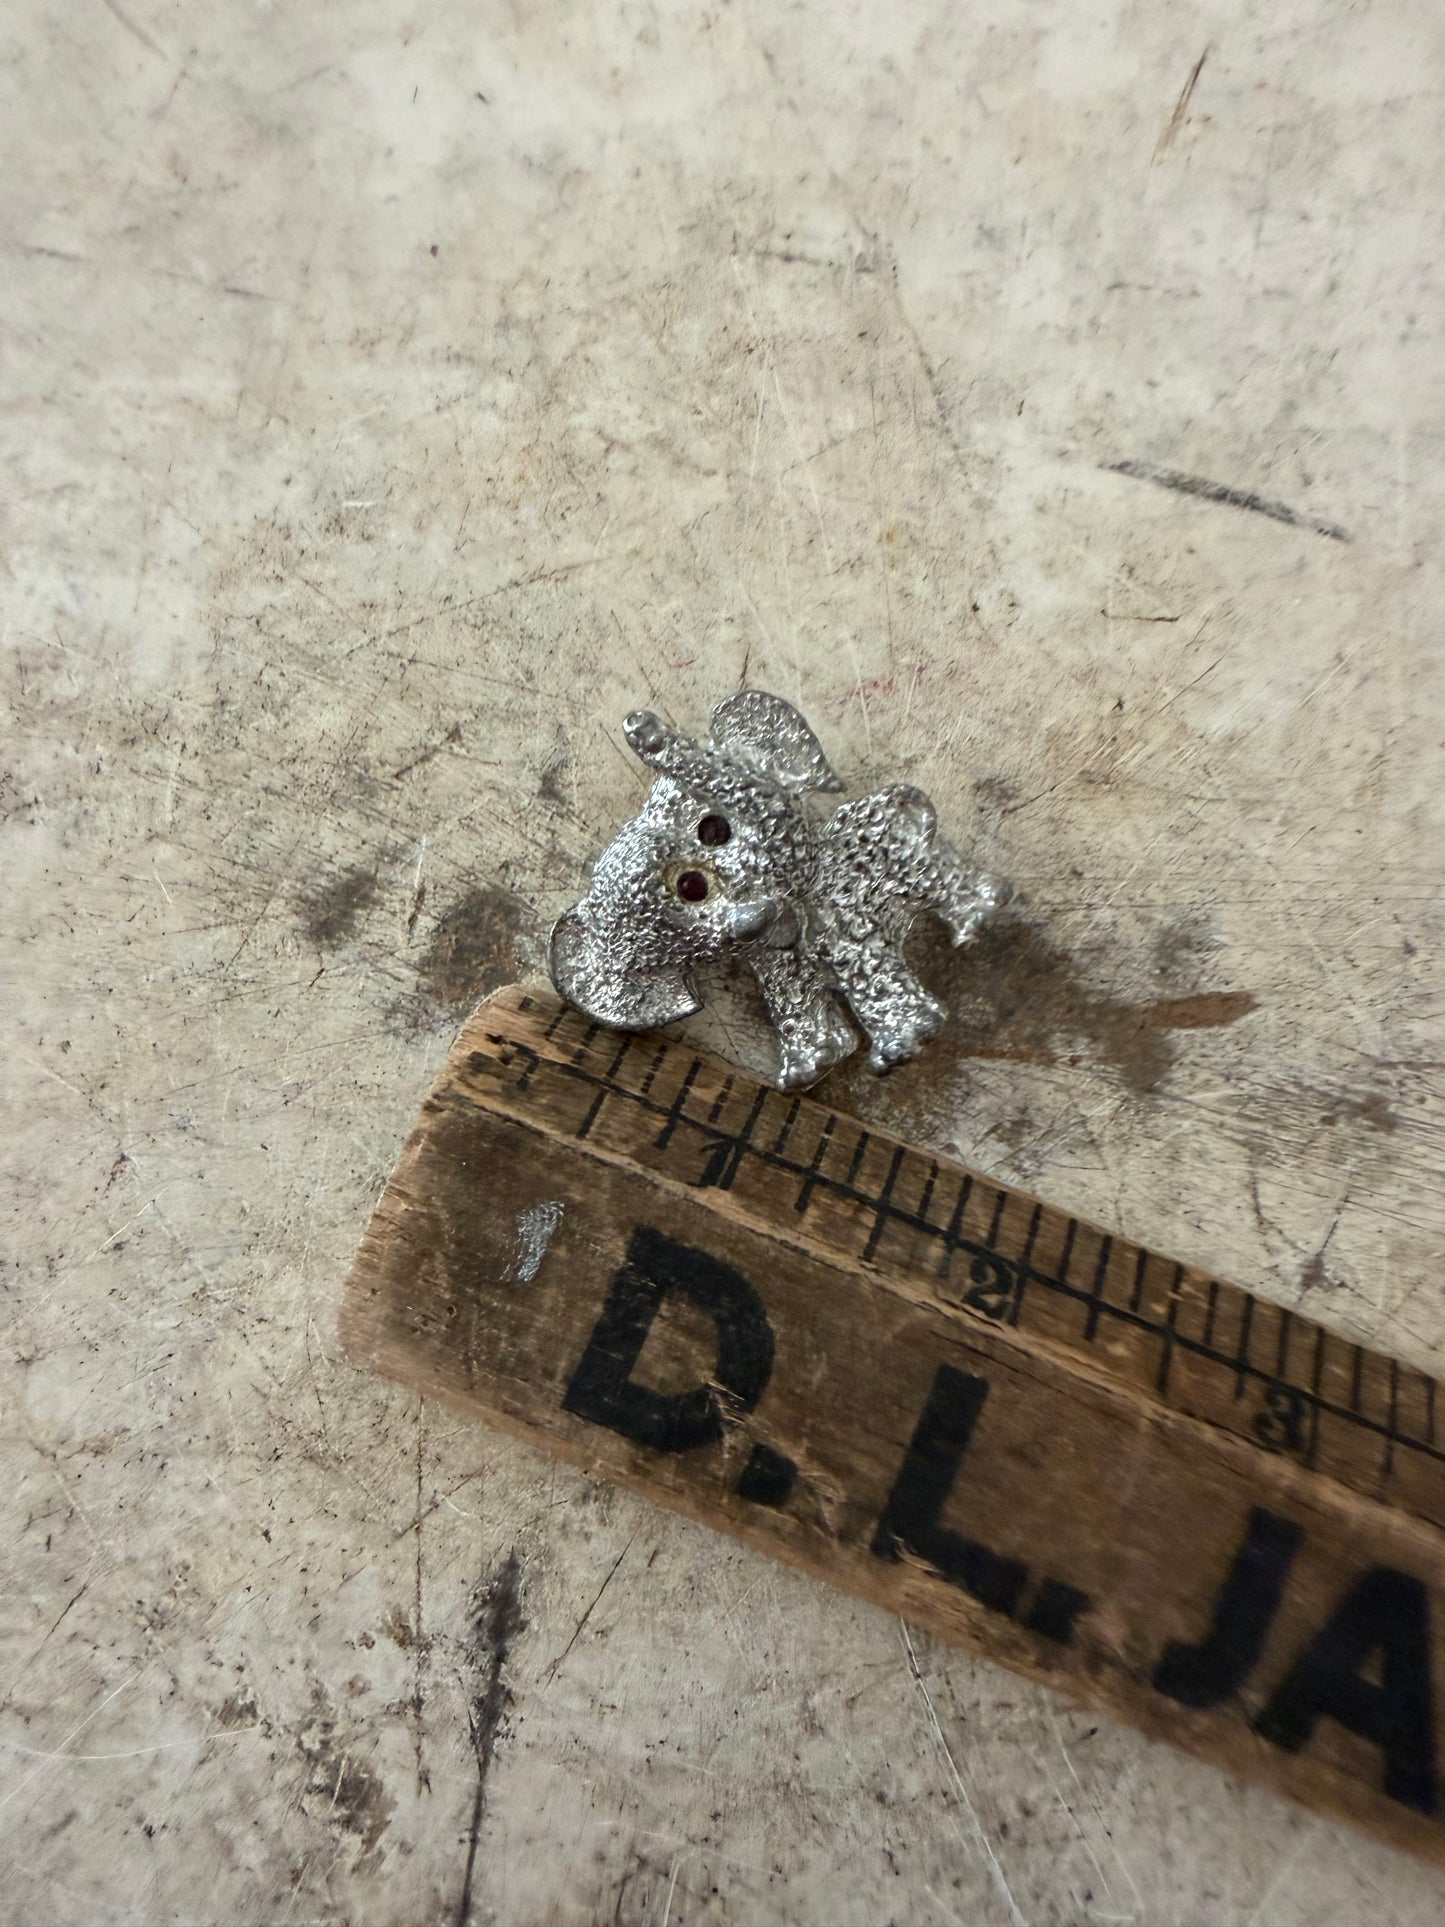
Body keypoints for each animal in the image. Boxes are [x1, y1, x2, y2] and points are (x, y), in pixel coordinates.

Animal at [548, 690, 1002, 1090]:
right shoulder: (779, 968)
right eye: (691, 887)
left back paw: (977, 916)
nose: (642, 726)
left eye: (714, 831)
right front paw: (811, 1070)